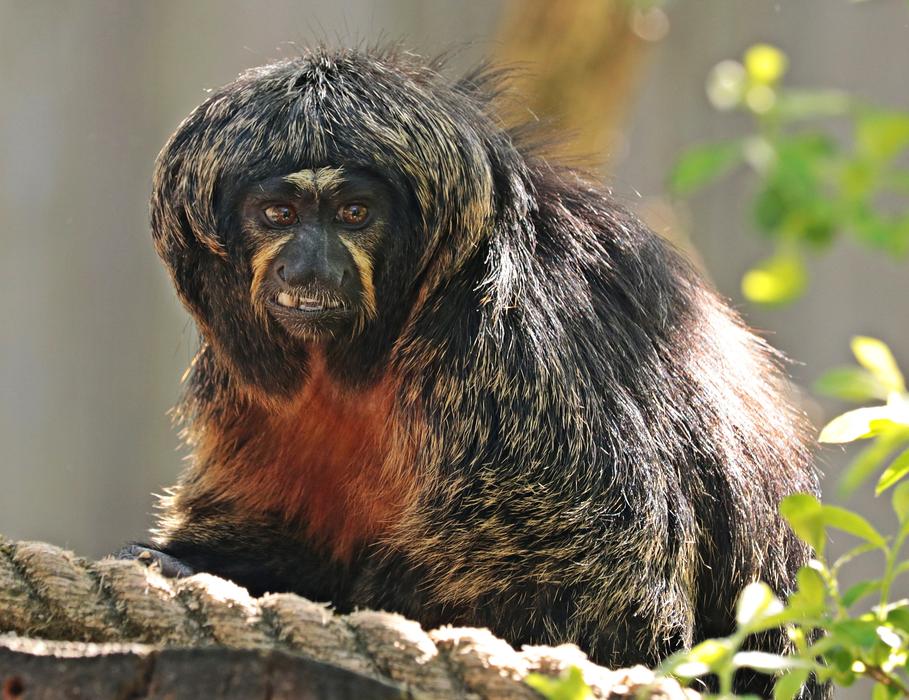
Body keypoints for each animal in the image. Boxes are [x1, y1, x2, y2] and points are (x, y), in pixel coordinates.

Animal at [120, 47, 825, 697]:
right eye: (279, 215)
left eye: (354, 214)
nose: (309, 267)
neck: (381, 344)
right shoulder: (242, 386)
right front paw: (185, 562)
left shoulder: (516, 349)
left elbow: (610, 583)